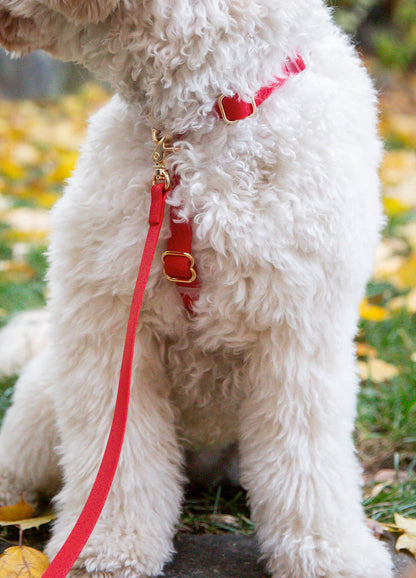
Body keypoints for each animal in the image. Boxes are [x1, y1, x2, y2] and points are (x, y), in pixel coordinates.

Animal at [0, 1, 394, 576]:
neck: (204, 121)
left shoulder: (300, 334)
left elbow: (307, 459)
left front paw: (328, 553)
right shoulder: (110, 327)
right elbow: (117, 460)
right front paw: (109, 547)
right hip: (41, 400)